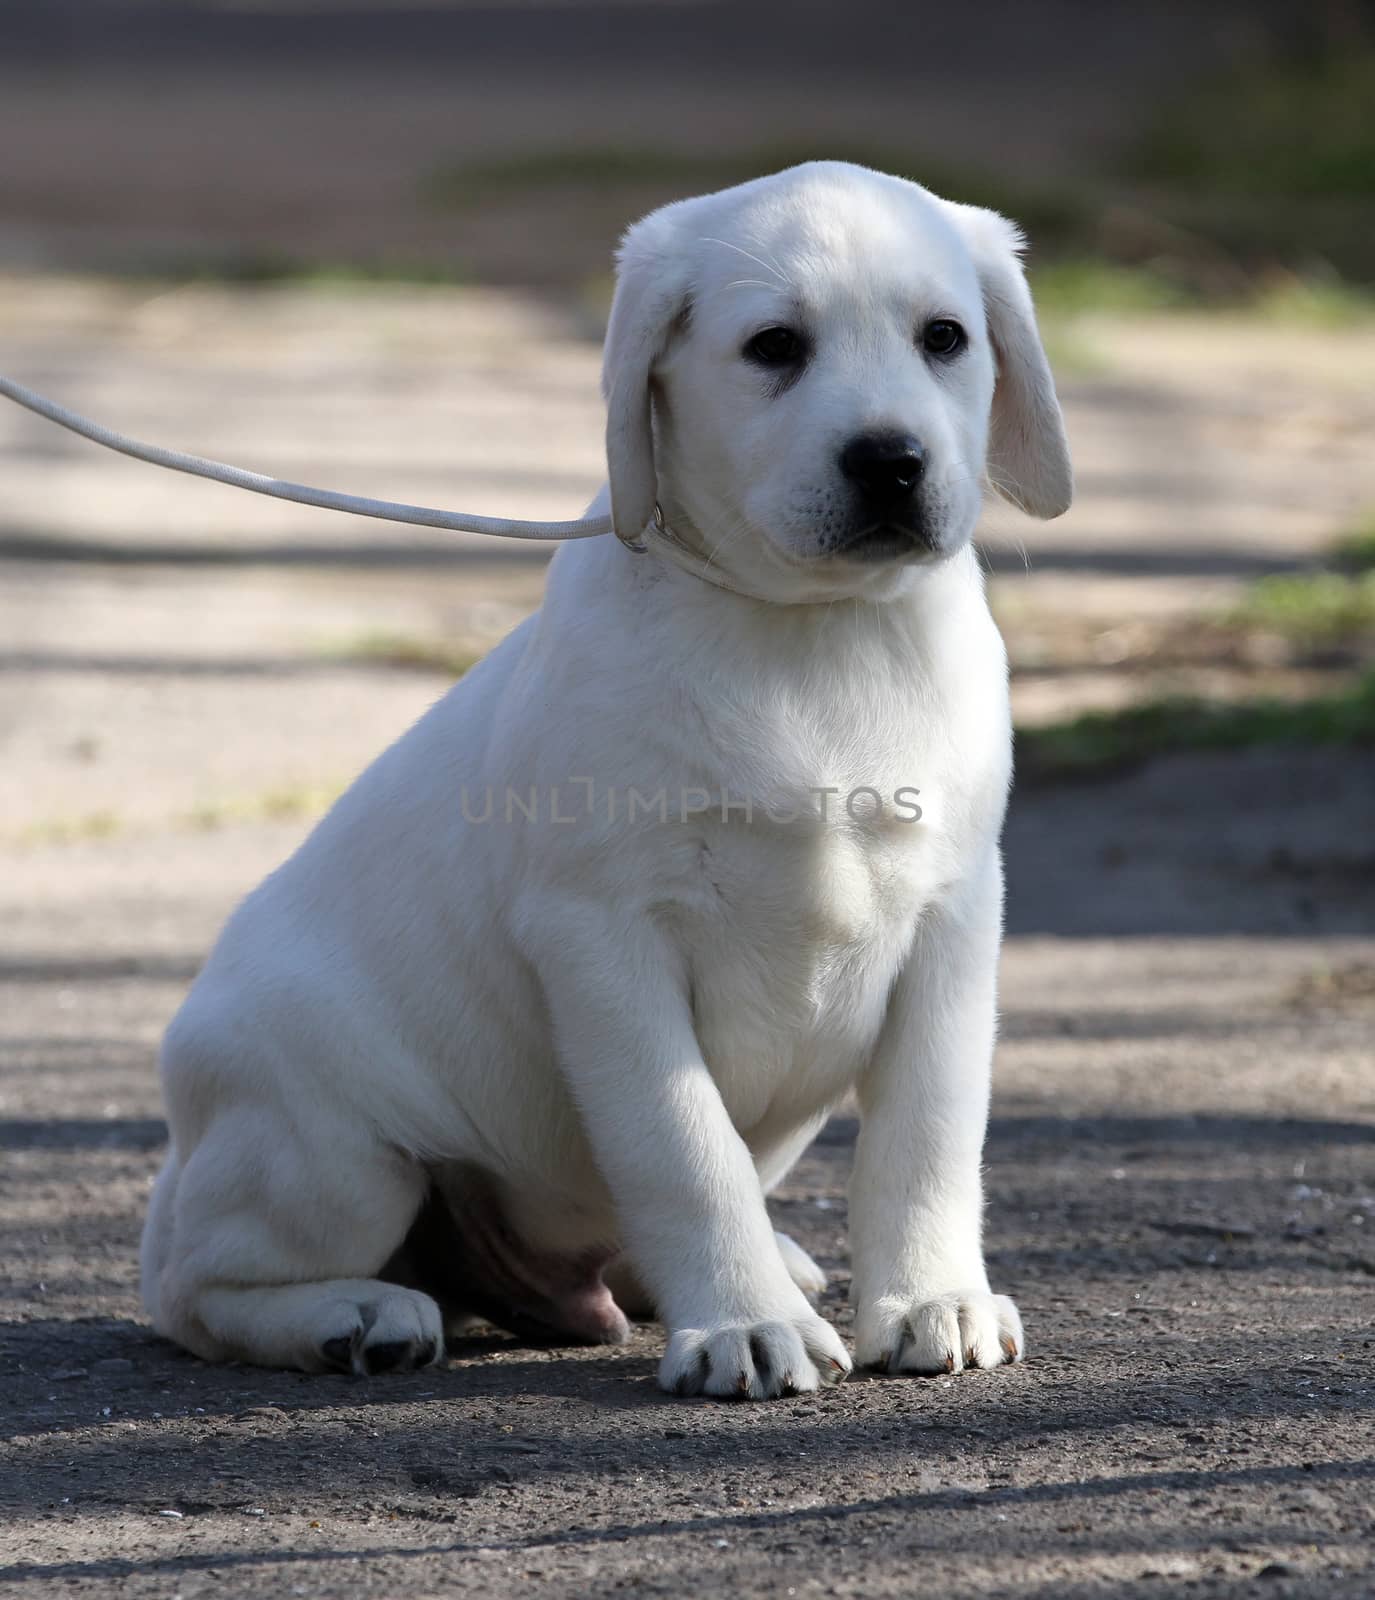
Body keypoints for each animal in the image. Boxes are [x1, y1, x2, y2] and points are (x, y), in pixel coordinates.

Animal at [140, 156, 1069, 1395]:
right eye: (774, 346)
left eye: (944, 338)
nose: (889, 458)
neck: (809, 632)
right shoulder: (603, 936)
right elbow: (682, 1146)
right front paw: (741, 1325)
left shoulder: (953, 918)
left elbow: (926, 1134)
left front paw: (929, 1298)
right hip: (325, 1149)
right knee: (192, 1287)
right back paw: (354, 1312)